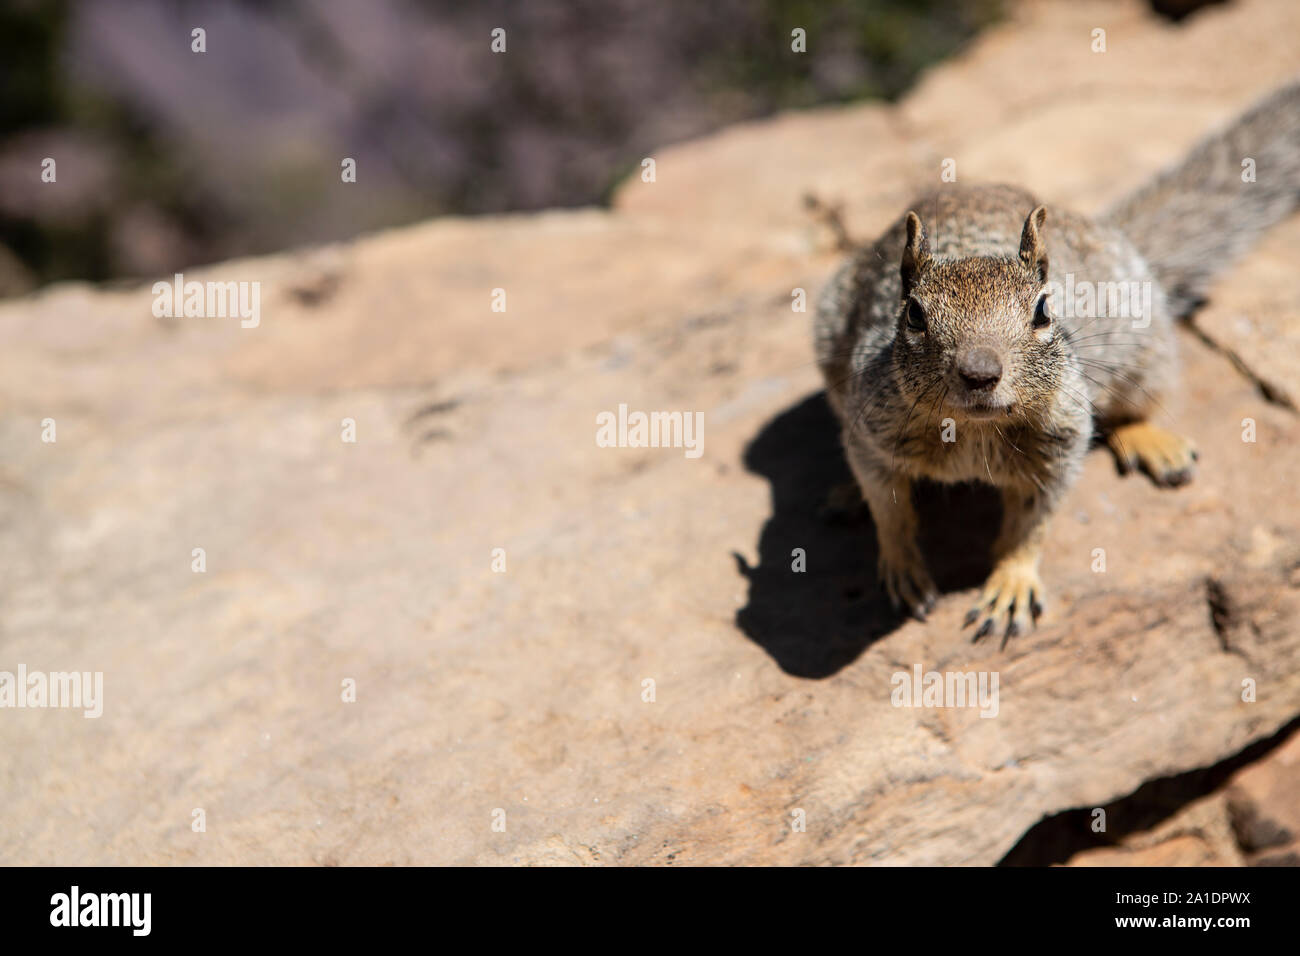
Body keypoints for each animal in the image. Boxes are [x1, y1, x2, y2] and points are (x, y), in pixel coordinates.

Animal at [811, 78, 1300, 639]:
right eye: (912, 314)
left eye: (1044, 310)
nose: (979, 373)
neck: (974, 429)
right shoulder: (872, 428)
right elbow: (889, 510)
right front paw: (904, 568)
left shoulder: (1060, 444)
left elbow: (1031, 525)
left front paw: (1010, 587)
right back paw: (846, 494)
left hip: (1145, 346)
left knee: (1137, 405)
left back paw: (1153, 441)